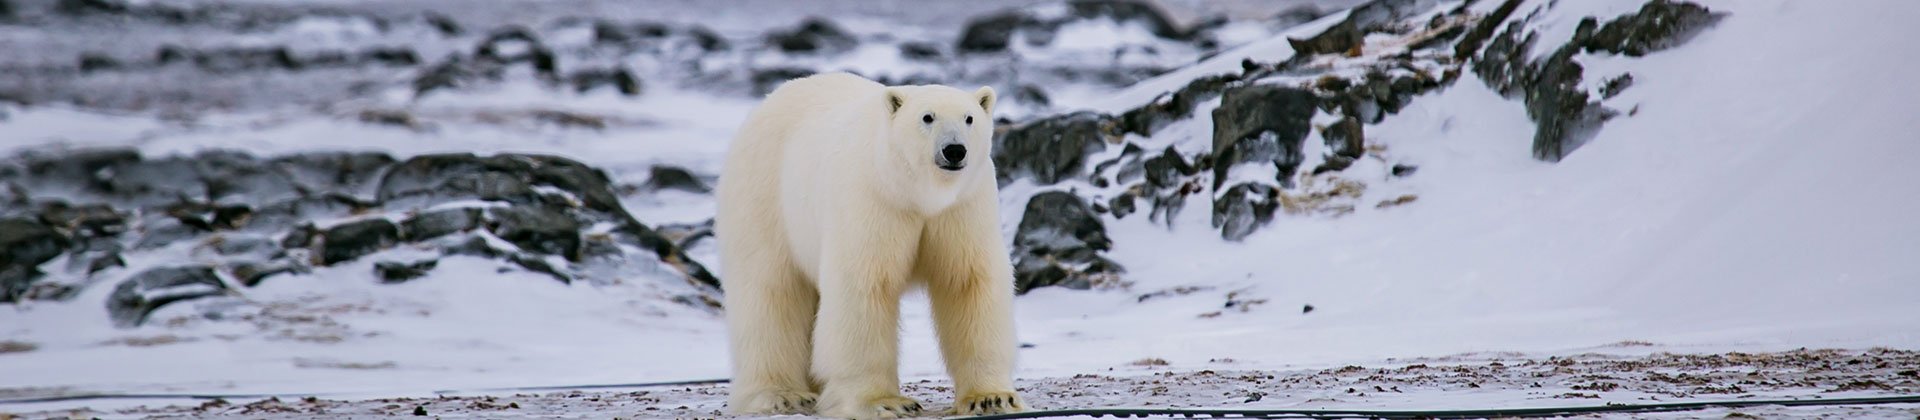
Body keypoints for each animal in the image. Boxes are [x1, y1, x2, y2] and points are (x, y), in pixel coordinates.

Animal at [718, 72, 1021, 416]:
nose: (954, 150)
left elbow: (968, 282)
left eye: (969, 118)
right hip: (765, 197)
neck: (915, 193)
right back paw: (781, 394)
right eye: (927, 117)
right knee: (770, 290)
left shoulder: (961, 207)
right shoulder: (874, 200)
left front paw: (991, 397)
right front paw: (884, 402)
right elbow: (865, 285)